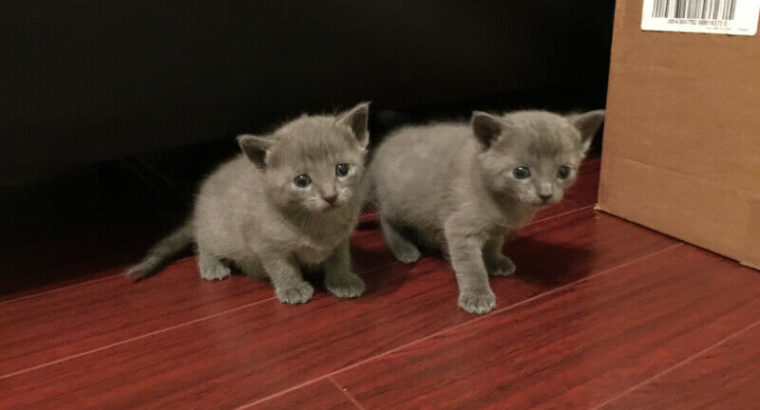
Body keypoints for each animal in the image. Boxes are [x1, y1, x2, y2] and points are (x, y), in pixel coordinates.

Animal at [129, 102, 372, 304]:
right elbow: (282, 267)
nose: (330, 196)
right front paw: (292, 288)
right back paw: (211, 265)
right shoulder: (266, 243)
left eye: (342, 169)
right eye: (302, 181)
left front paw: (343, 281)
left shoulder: (341, 239)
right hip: (215, 229)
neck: (320, 223)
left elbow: (340, 258)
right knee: (203, 242)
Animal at [368, 108, 604, 314]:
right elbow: (471, 265)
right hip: (396, 203)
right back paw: (404, 249)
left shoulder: (498, 228)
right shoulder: (459, 228)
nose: (545, 193)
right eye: (521, 172)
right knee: (385, 220)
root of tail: (383, 147)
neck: (507, 205)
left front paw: (495, 261)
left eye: (563, 171)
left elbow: (493, 244)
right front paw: (477, 296)